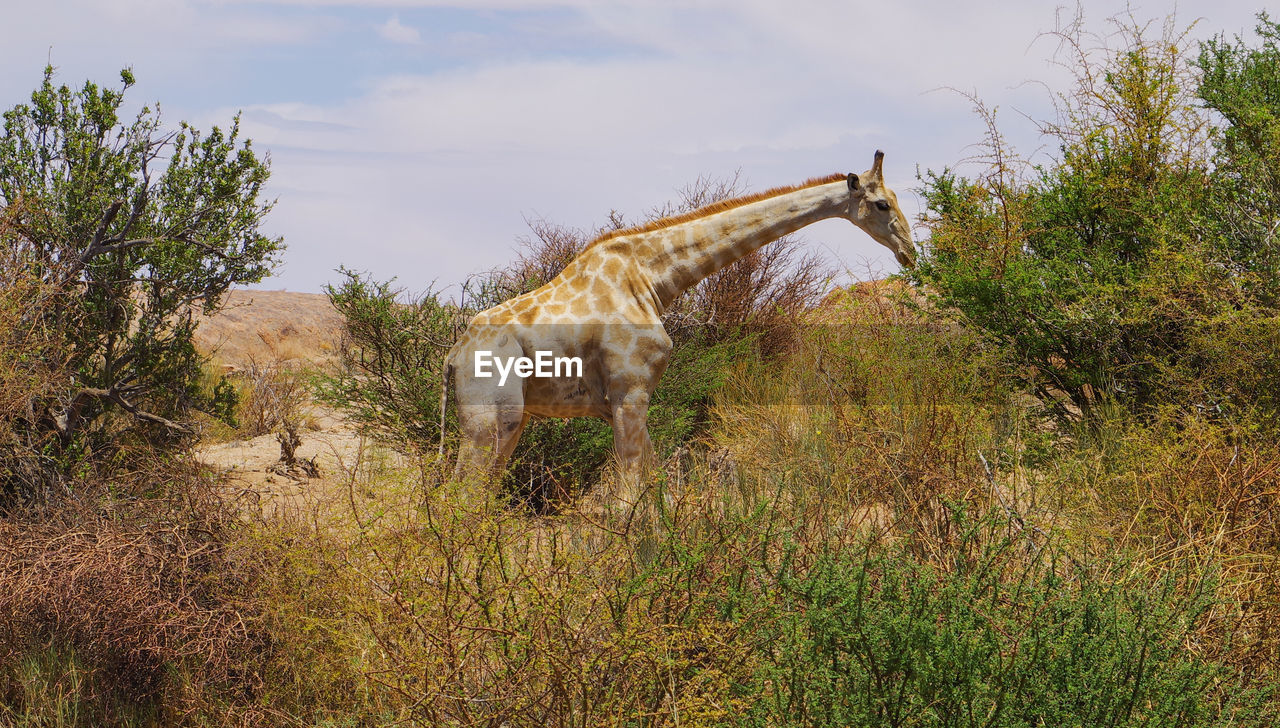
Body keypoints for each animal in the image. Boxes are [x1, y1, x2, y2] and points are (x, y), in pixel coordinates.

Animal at [445, 147, 916, 498]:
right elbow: (629, 496)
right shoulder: (629, 392)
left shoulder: (623, 402)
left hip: (512, 421)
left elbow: (655, 490)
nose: (909, 251)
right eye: (881, 203)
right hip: (492, 417)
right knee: (462, 497)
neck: (649, 280)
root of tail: (454, 357)